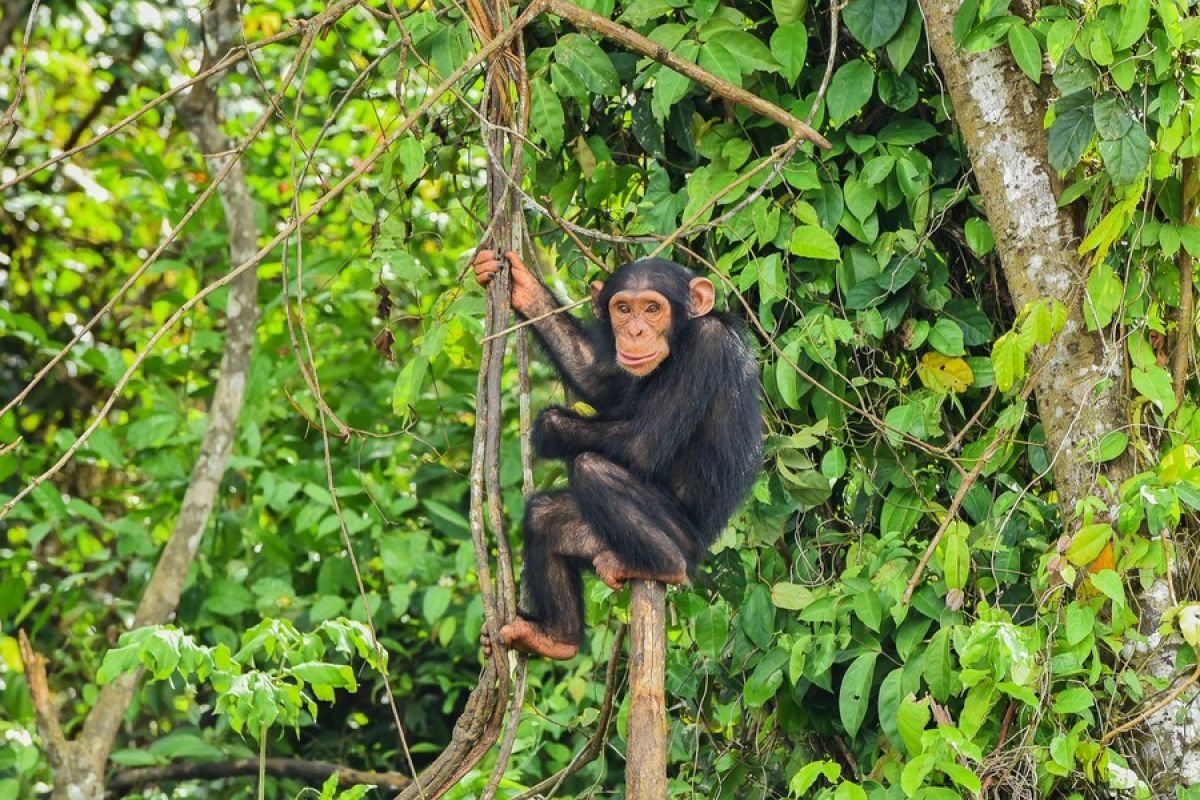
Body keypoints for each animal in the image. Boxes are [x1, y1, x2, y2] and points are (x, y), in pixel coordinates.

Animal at [475, 248, 763, 657]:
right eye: (623, 309)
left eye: (653, 309)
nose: (635, 332)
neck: (682, 336)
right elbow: (597, 376)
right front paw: (522, 286)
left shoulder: (706, 348)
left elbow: (641, 443)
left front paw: (548, 427)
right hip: (598, 540)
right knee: (546, 518)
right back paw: (555, 637)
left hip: (684, 538)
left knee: (593, 467)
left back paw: (666, 566)